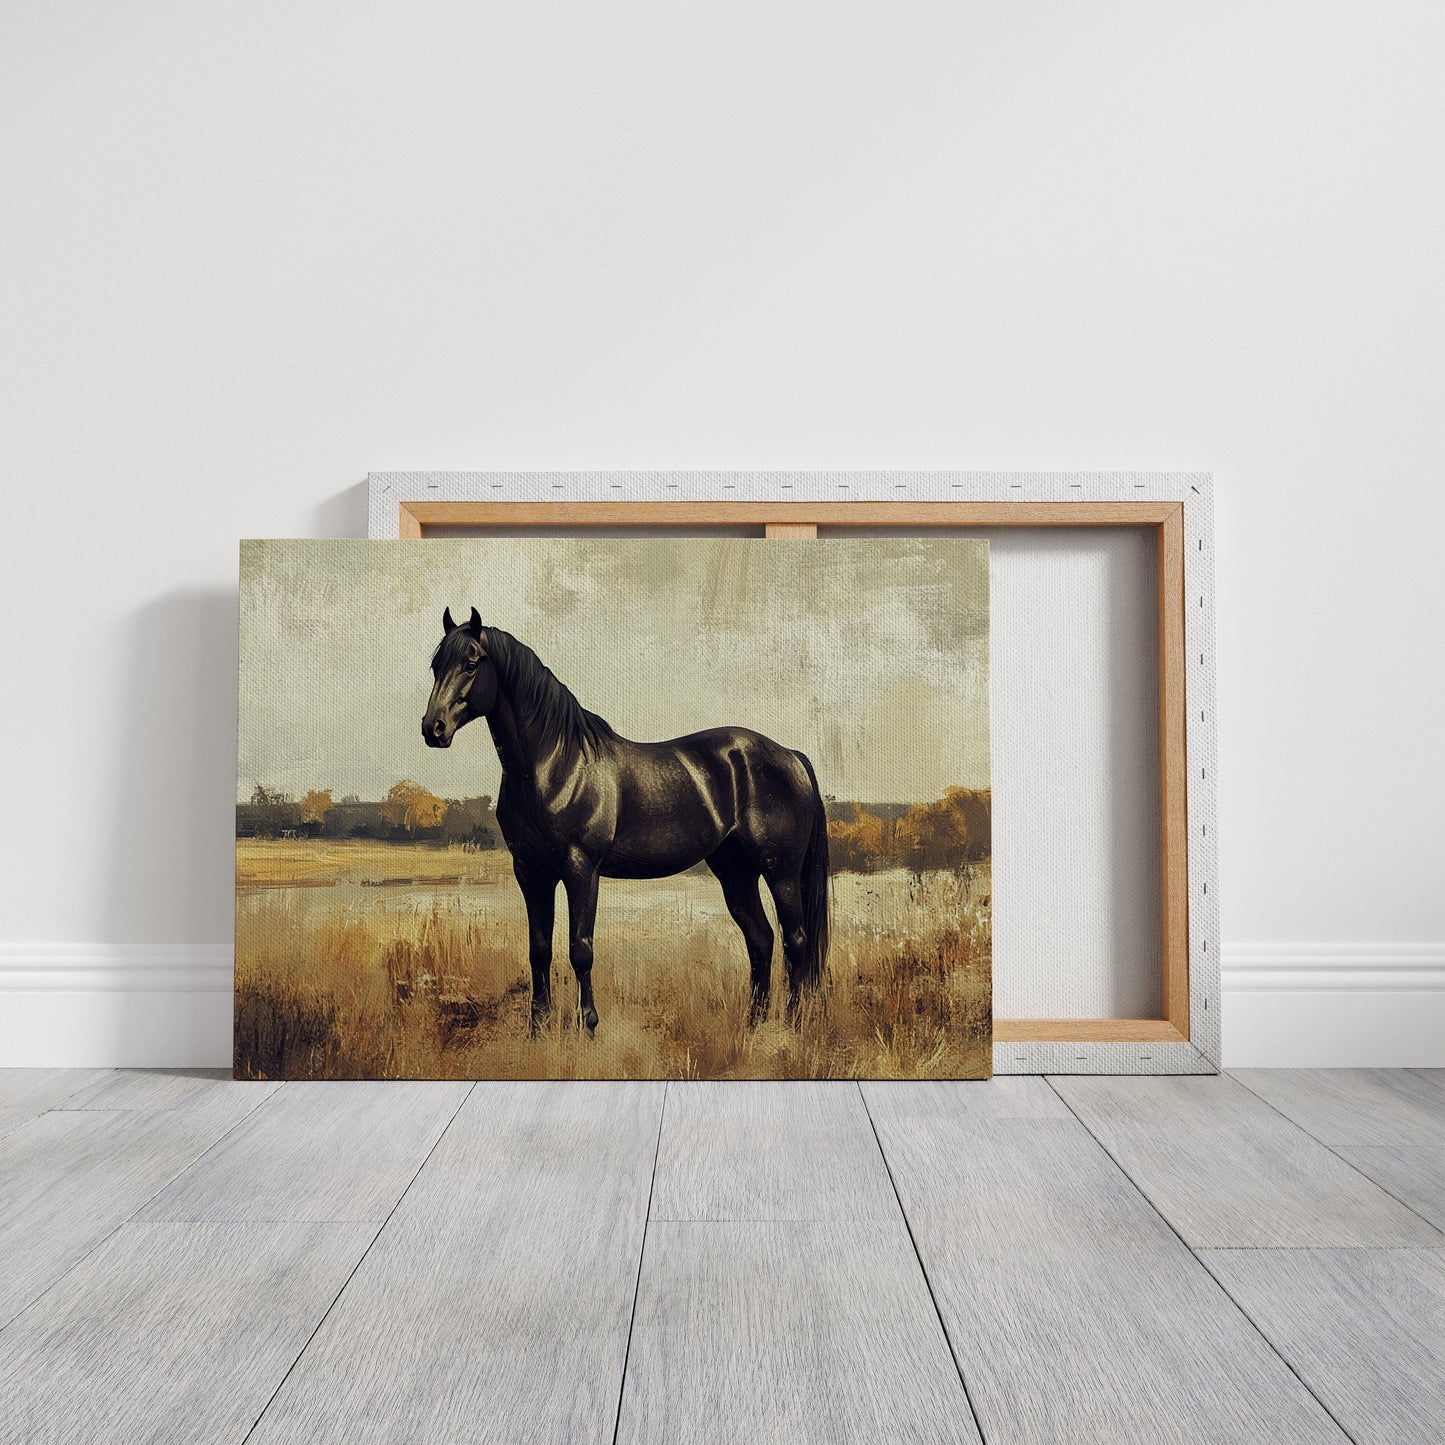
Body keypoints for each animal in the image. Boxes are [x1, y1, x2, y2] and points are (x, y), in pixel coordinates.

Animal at [422, 607, 830, 1035]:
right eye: (436, 665)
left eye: (471, 663)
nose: (433, 728)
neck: (556, 765)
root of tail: (791, 756)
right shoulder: (531, 872)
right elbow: (539, 950)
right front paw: (538, 1027)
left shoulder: (581, 869)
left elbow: (580, 950)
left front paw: (587, 1025)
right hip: (736, 870)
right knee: (761, 939)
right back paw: (754, 1024)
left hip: (781, 872)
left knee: (796, 941)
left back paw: (793, 1027)